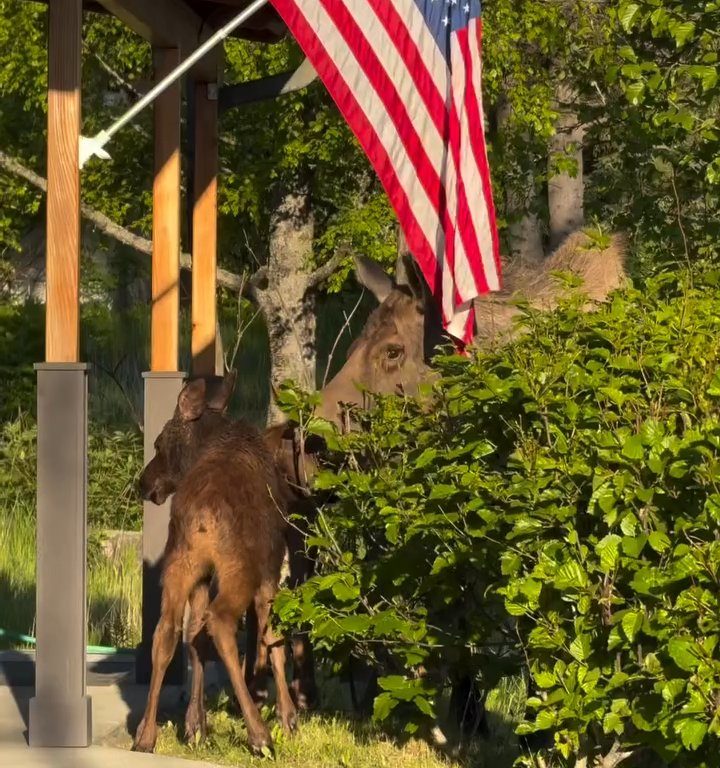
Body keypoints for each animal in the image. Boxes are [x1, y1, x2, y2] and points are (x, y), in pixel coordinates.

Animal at [132, 376, 296, 752]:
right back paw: (259, 733)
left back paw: (145, 736)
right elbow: (274, 640)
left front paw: (195, 725)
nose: (143, 483)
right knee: (219, 623)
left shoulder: (203, 579)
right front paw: (289, 717)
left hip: (180, 564)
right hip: (239, 571)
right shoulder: (270, 570)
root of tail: (202, 514)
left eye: (158, 443)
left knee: (168, 632)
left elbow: (195, 640)